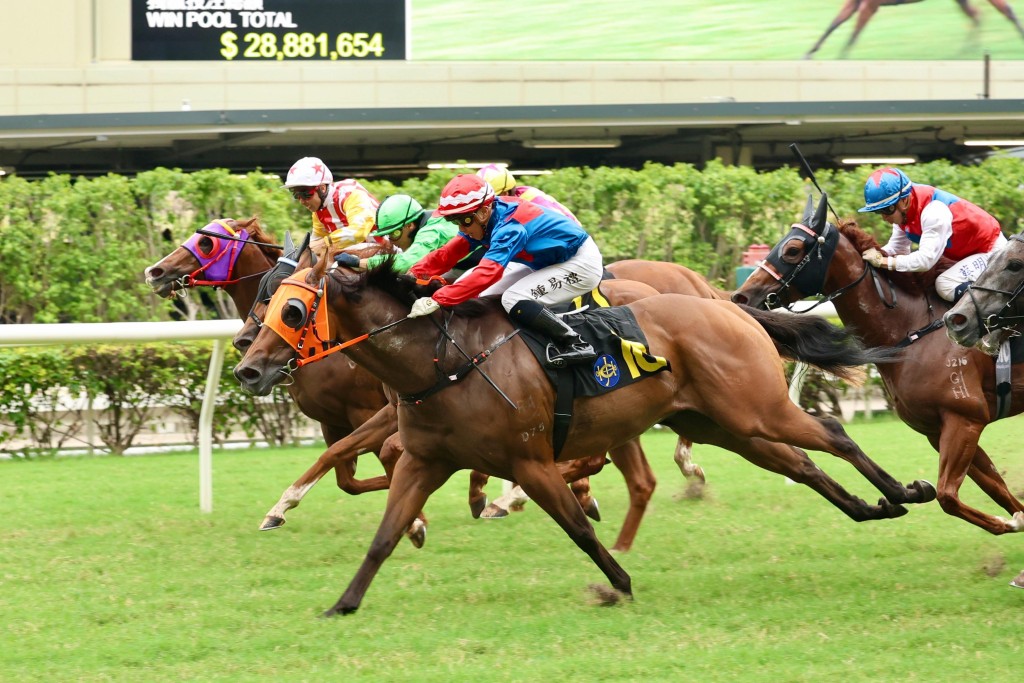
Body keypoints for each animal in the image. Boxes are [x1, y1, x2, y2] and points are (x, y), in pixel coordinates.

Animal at [234, 254, 937, 614]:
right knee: (802, 464)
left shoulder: (530, 461)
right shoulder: (423, 461)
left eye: (291, 308)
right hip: (723, 425)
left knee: (831, 431)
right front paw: (342, 603)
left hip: (754, 408)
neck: (441, 361)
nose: (247, 366)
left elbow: (576, 527)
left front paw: (616, 583)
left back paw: (906, 491)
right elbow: (382, 536)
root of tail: (724, 303)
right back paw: (869, 508)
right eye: (264, 302)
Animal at [733, 194, 1024, 536]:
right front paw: (1016, 519)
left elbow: (948, 496)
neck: (911, 330)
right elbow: (997, 490)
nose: (740, 296)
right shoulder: (937, 430)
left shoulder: (965, 420)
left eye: (792, 249)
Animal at [806, 0, 1024, 59]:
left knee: (1007, 11)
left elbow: (853, 35)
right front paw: (808, 55)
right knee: (976, 15)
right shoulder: (855, 3)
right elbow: (832, 25)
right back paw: (966, 49)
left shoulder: (870, 5)